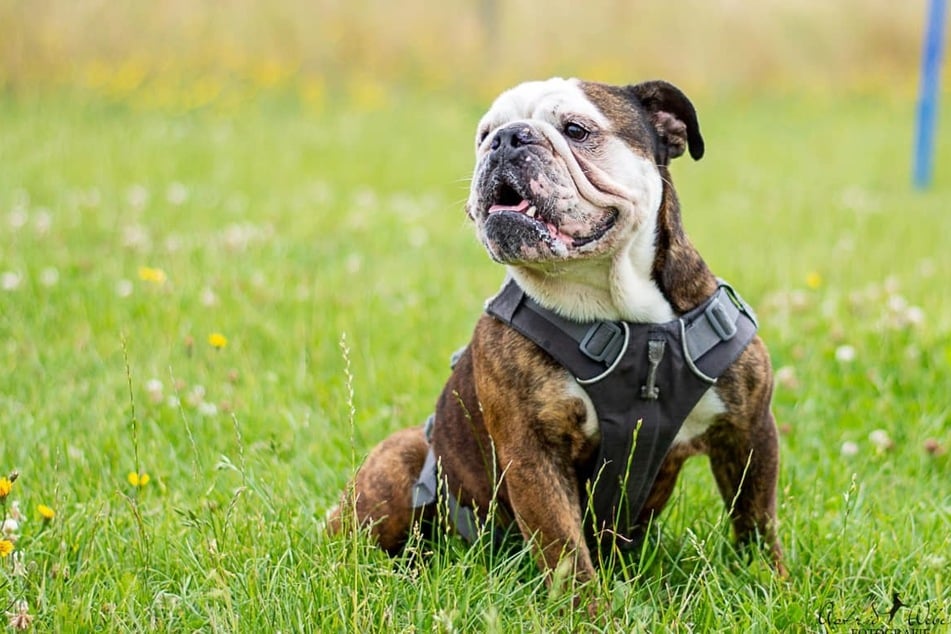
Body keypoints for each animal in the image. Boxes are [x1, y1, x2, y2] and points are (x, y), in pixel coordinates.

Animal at [324, 78, 784, 584]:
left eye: (576, 130)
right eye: (484, 134)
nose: (506, 139)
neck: (627, 317)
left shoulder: (749, 429)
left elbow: (756, 518)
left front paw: (770, 581)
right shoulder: (533, 457)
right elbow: (566, 553)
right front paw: (587, 604)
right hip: (396, 466)